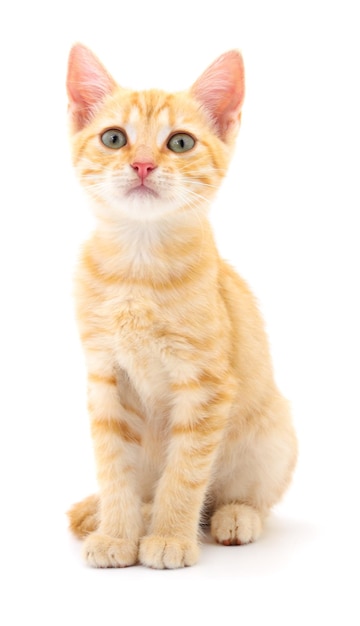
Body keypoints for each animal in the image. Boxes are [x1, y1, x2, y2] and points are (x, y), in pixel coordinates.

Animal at [66, 44, 296, 568]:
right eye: (114, 138)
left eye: (180, 143)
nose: (143, 166)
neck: (137, 269)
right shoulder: (105, 379)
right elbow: (114, 468)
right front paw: (117, 534)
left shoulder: (205, 385)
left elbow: (186, 473)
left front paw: (170, 537)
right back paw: (116, 513)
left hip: (273, 436)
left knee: (243, 495)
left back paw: (234, 516)